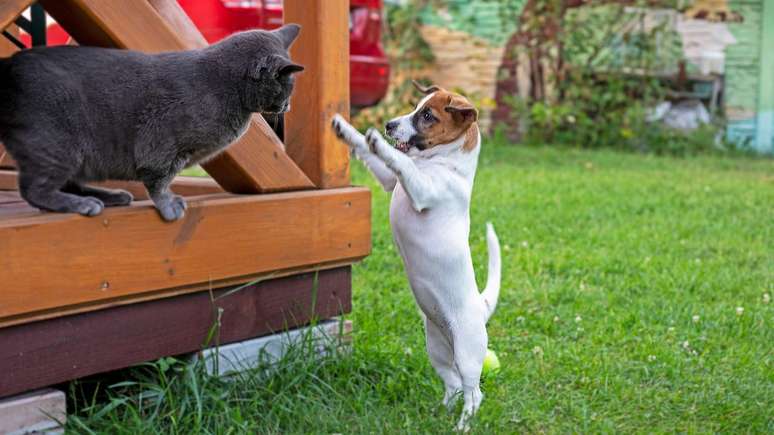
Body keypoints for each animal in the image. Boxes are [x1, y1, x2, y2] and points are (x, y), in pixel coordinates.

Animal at [0, 23, 306, 221]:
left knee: (65, 183)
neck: (225, 88)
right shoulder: (162, 147)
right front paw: (169, 205)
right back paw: (84, 204)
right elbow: (159, 181)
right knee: (34, 189)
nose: (289, 105)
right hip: (60, 146)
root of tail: (8, 65)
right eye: (287, 87)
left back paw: (110, 196)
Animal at [332, 80, 504, 430]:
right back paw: (441, 411)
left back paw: (462, 425)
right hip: (436, 348)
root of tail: (481, 306)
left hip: (468, 351)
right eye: (415, 107)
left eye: (427, 116)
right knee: (452, 383)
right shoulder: (389, 182)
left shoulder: (423, 190)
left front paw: (377, 141)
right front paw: (348, 130)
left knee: (473, 392)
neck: (442, 164)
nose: (388, 125)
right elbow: (374, 156)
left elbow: (401, 163)